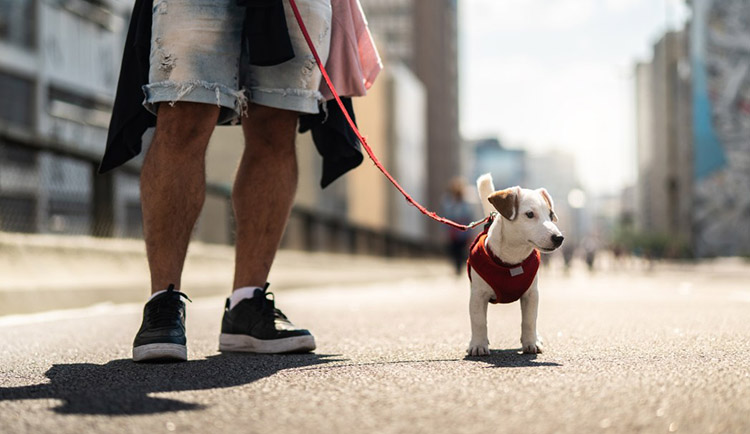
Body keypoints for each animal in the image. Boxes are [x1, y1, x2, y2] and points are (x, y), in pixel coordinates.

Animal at [468, 173, 568, 356]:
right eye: (529, 214)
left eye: (551, 215)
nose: (559, 238)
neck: (512, 259)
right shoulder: (477, 296)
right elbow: (478, 321)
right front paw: (478, 344)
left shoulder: (531, 295)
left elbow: (529, 320)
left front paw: (531, 343)